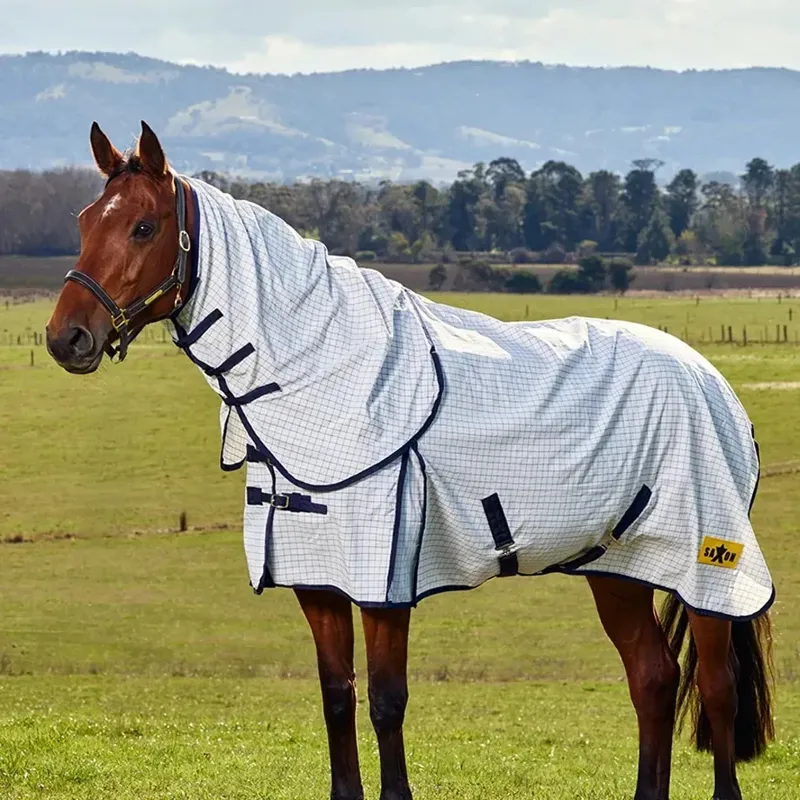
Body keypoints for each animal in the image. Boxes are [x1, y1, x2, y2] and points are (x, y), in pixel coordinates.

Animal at [45, 121, 775, 800]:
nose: (65, 337)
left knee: (715, 687)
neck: (323, 369)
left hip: (705, 567)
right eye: (83, 220)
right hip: (616, 568)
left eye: (143, 226)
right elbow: (337, 695)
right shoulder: (318, 581)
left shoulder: (384, 581)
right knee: (653, 677)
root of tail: (711, 382)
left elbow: (386, 700)